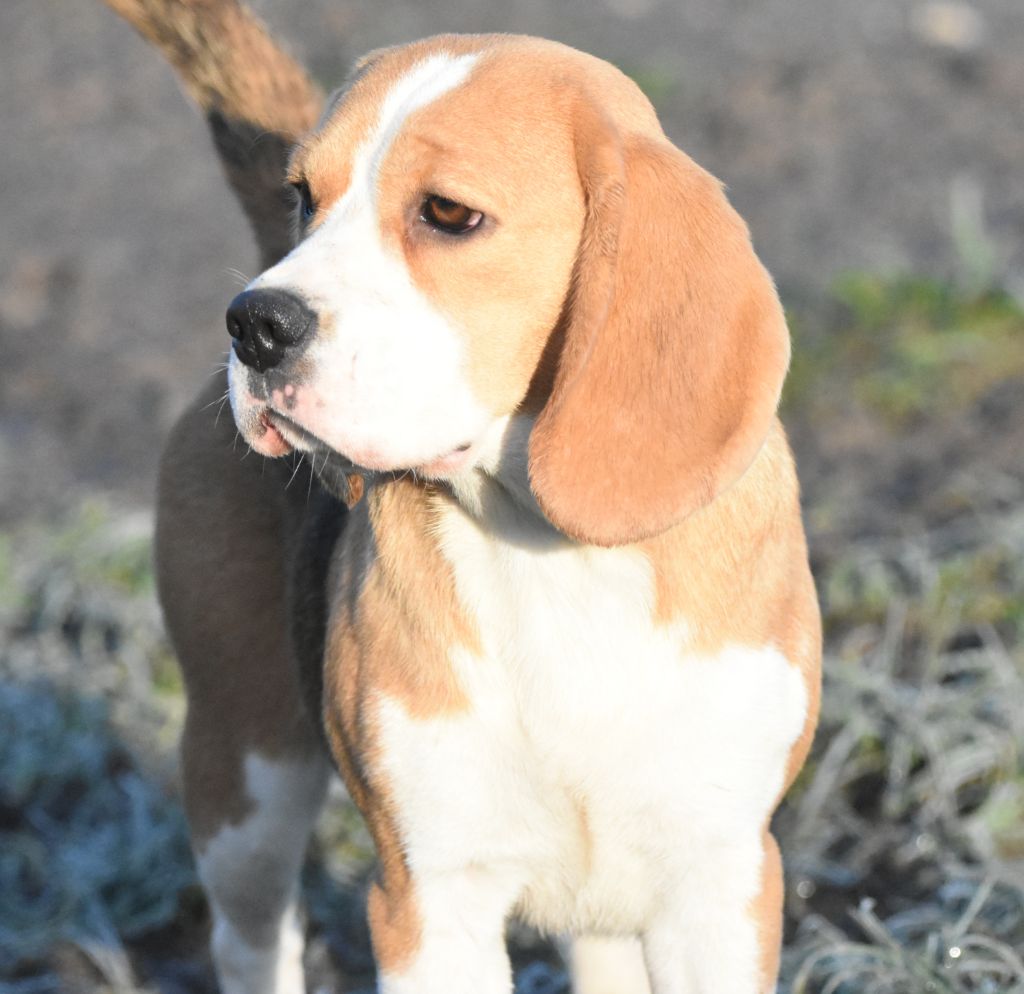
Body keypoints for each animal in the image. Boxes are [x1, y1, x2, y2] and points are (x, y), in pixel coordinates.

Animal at [112, 3, 823, 990]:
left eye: (448, 214)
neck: (548, 551)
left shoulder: (721, 887)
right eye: (305, 196)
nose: (254, 325)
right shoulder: (427, 898)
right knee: (252, 934)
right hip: (244, 776)